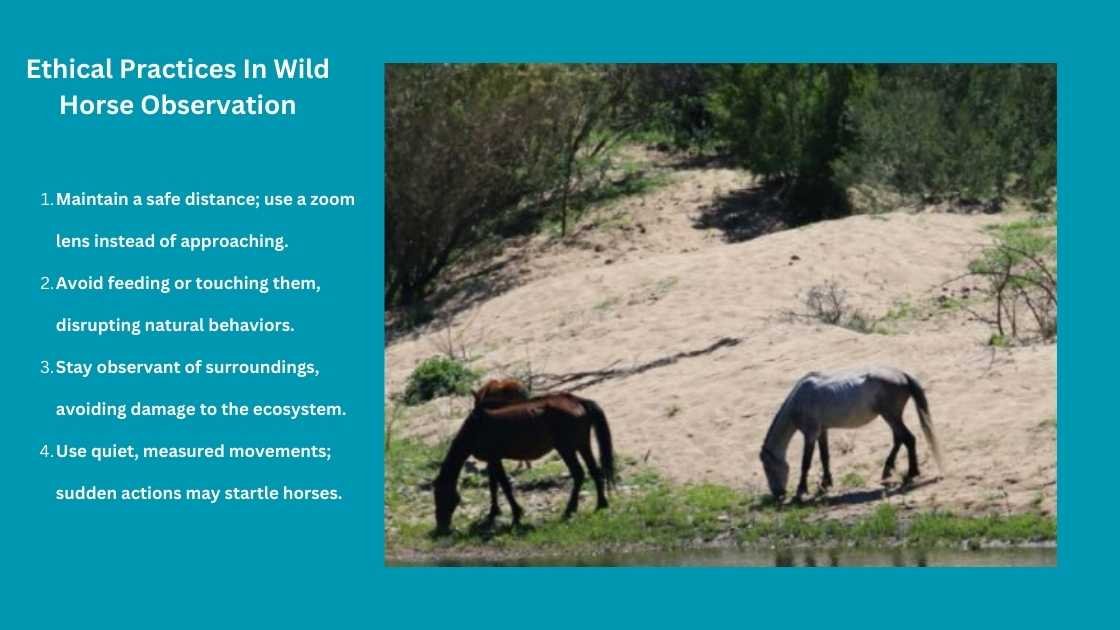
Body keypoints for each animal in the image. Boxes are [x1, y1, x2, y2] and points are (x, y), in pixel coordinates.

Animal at [433, 392, 616, 534]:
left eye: (440, 496)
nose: (441, 527)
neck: (476, 426)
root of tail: (578, 401)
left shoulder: (494, 459)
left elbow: (504, 486)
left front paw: (516, 514)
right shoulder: (492, 460)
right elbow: (494, 486)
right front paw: (493, 513)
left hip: (566, 448)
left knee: (578, 474)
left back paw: (569, 510)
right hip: (582, 445)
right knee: (594, 471)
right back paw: (601, 504)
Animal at [759, 367, 944, 501]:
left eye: (768, 468)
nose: (778, 494)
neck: (800, 399)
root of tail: (902, 374)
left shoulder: (810, 434)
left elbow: (806, 463)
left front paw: (800, 491)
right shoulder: (822, 431)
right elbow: (825, 457)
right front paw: (825, 484)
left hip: (891, 416)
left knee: (908, 439)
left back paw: (911, 474)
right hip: (892, 417)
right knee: (899, 439)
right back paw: (888, 472)